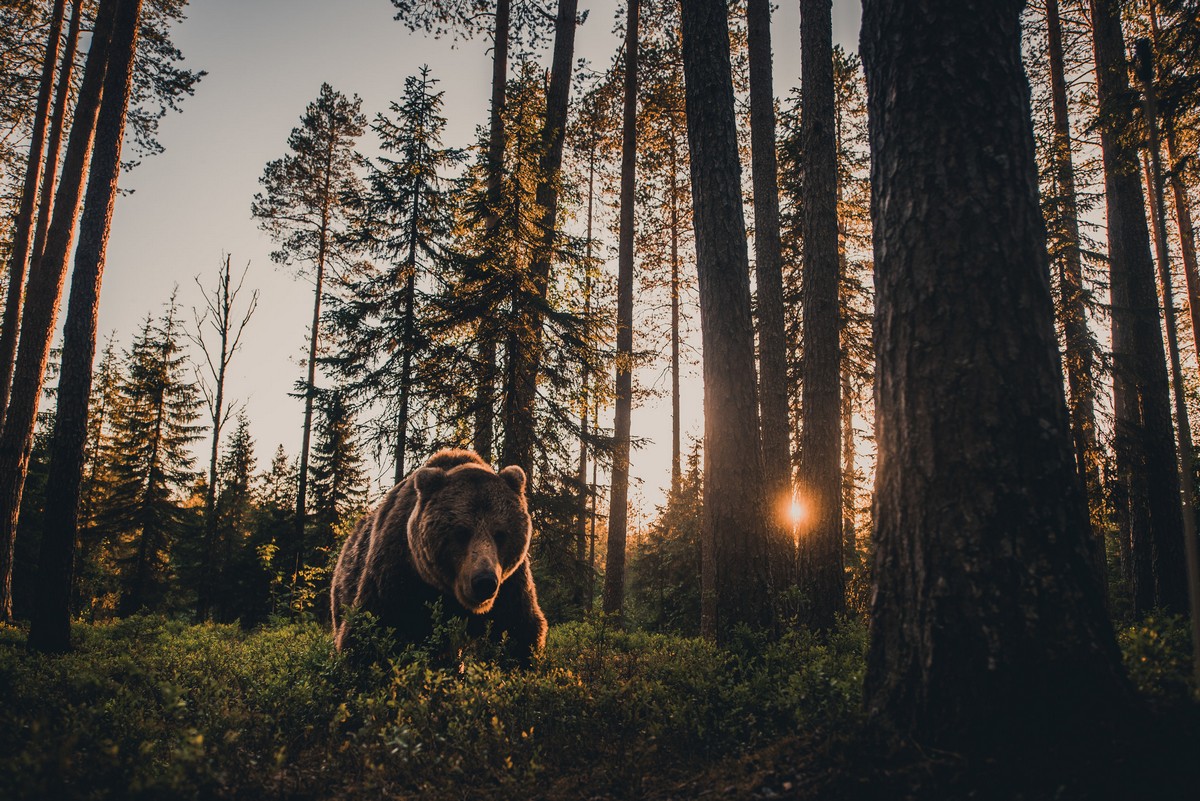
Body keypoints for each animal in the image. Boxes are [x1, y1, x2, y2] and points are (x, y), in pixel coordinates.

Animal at [333, 448, 549, 666]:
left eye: (500, 533)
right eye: (461, 532)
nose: (484, 582)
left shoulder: (510, 585)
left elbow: (519, 630)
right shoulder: (398, 574)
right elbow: (373, 630)